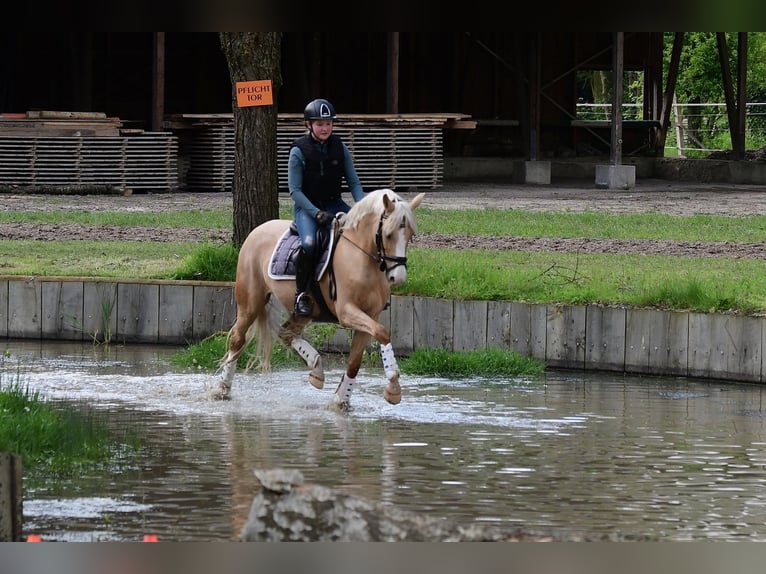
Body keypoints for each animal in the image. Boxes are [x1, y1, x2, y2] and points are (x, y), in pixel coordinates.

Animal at [210, 189, 426, 410]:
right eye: (388, 234)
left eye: (410, 235)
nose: (398, 278)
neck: (362, 257)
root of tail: (257, 230)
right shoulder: (347, 311)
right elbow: (383, 332)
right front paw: (393, 385)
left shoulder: (370, 315)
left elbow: (356, 361)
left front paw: (340, 401)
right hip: (250, 303)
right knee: (237, 339)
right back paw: (222, 389)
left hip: (305, 312)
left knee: (285, 332)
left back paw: (316, 367)